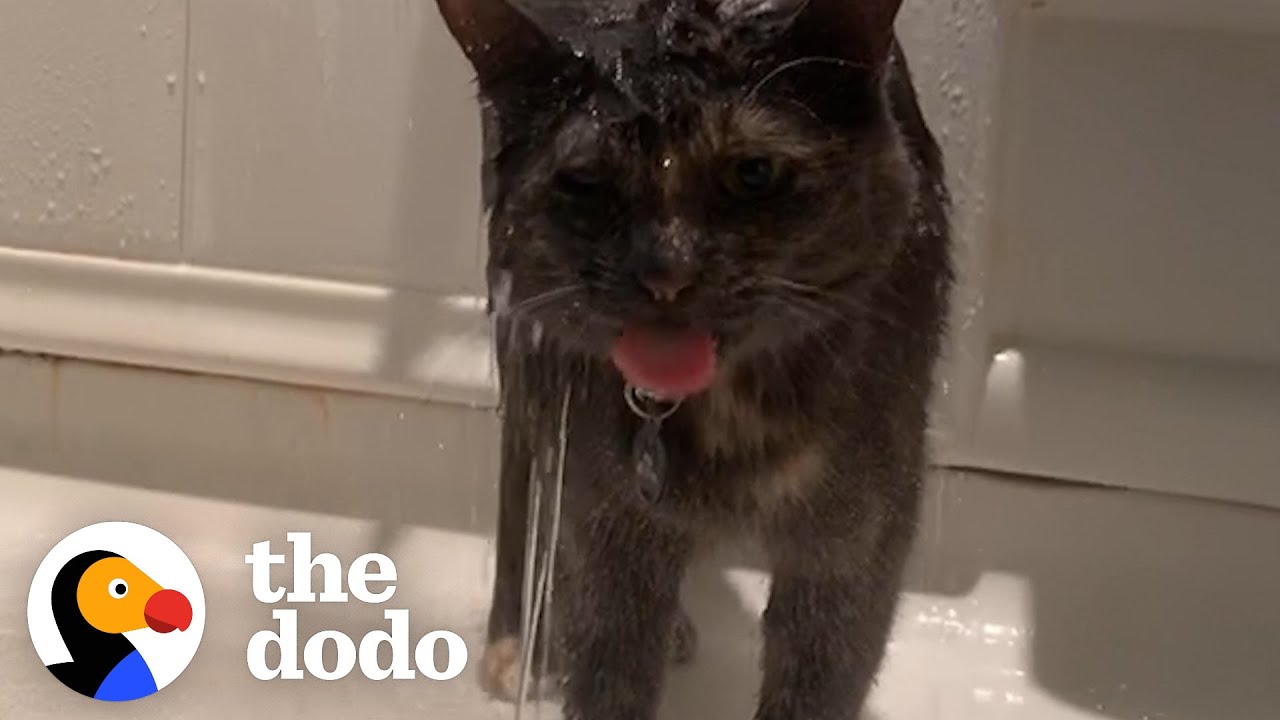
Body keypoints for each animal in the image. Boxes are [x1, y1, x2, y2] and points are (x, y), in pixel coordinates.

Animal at [437, 1, 952, 717]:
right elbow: (608, 667)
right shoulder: (605, 523)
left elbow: (819, 675)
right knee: (523, 480)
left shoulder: (856, 539)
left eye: (753, 173)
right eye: (587, 182)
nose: (666, 272)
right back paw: (519, 644)